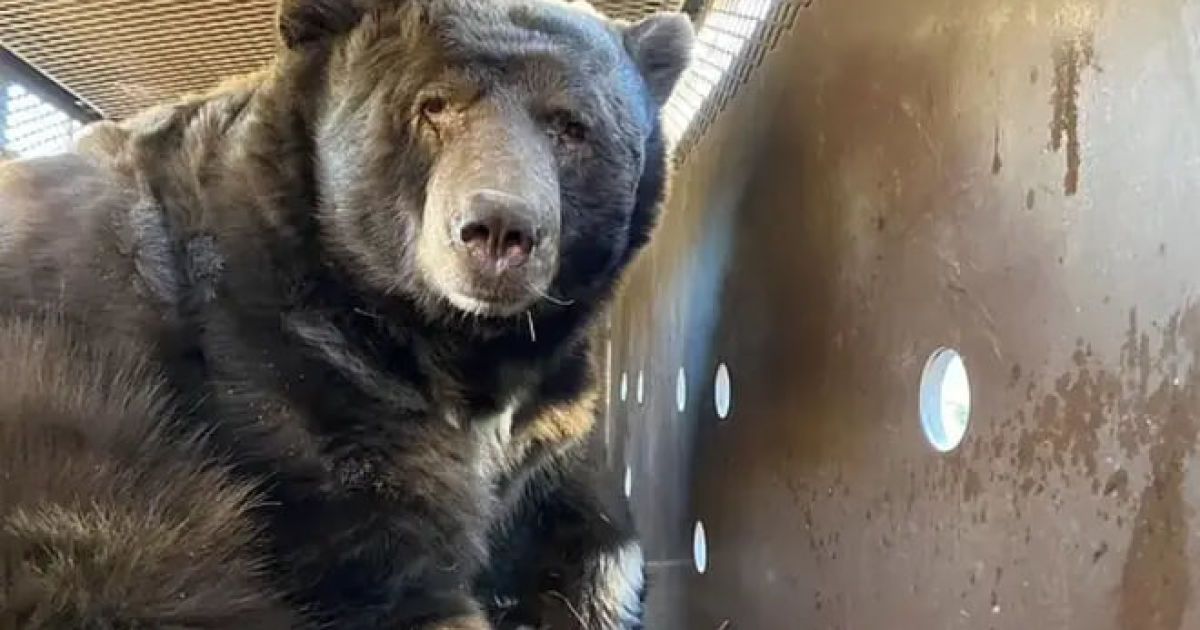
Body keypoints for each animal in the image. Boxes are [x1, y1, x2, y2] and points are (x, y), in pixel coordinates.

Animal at [0, 0, 692, 628]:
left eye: (571, 126)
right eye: (434, 105)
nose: (499, 228)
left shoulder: (549, 421)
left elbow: (586, 511)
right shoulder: (292, 375)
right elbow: (387, 563)